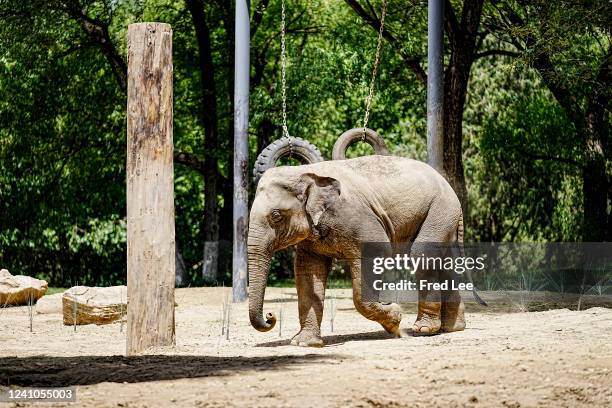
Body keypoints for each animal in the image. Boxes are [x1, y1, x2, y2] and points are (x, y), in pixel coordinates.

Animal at [246, 135, 470, 348]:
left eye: (276, 216)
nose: (270, 316)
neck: (307, 173)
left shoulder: (357, 218)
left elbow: (376, 254)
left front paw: (395, 318)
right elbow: (308, 269)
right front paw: (304, 344)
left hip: (439, 211)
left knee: (421, 256)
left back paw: (424, 329)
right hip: (443, 219)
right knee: (444, 262)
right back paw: (453, 328)